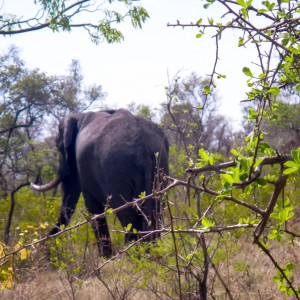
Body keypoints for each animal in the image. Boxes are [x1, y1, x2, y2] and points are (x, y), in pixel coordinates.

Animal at [31, 109, 170, 256]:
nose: (43, 249)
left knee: (128, 217)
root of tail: (142, 150)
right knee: (155, 212)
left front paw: (105, 258)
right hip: (159, 165)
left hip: (115, 171)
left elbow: (93, 208)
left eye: (58, 147)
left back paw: (129, 255)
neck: (78, 117)